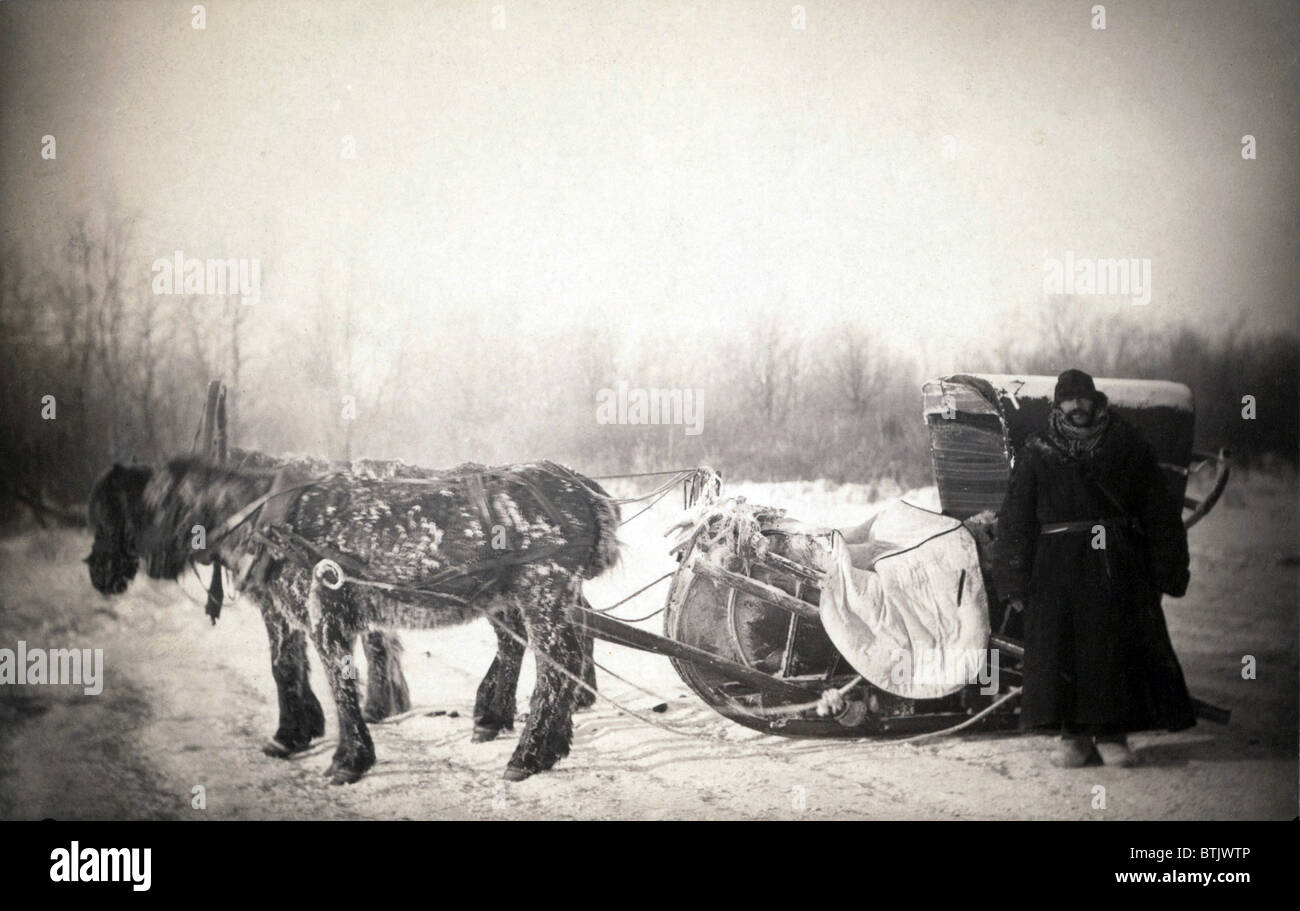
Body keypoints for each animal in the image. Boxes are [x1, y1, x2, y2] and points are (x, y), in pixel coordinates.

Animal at [89, 454, 621, 779]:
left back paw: (528, 754)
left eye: (110, 514)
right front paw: (299, 734)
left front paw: (348, 757)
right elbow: (292, 667)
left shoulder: (324, 614)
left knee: (557, 666)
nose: (97, 573)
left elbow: (337, 679)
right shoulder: (292, 611)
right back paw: (538, 740)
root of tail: (581, 487)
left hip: (542, 594)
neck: (264, 517)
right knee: (552, 657)